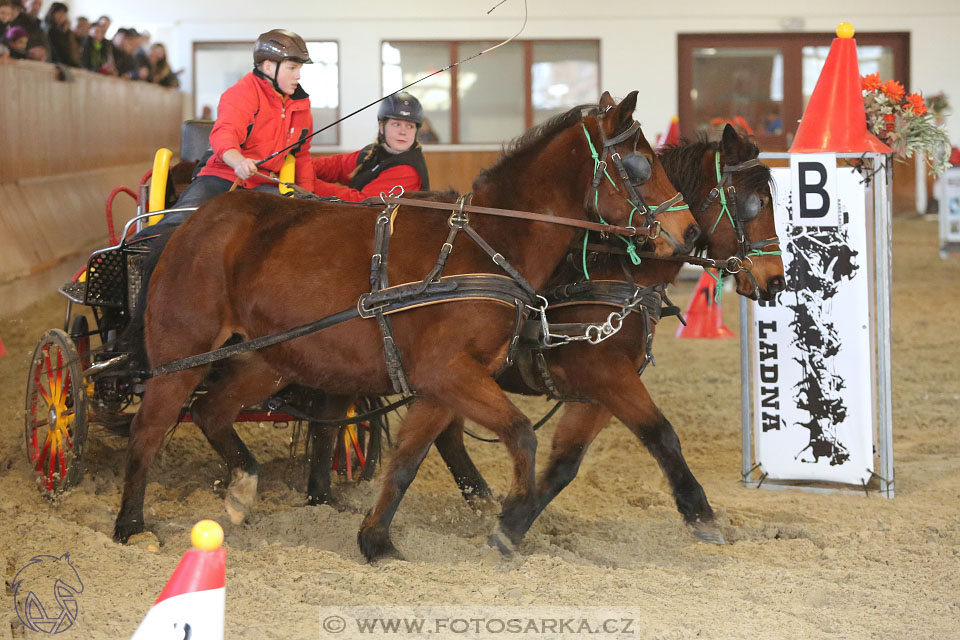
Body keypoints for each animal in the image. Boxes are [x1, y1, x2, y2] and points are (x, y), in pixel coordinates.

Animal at [114, 90, 696, 556]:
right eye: (639, 165)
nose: (688, 232)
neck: (487, 242)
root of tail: (190, 223)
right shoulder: (450, 372)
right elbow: (522, 435)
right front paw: (511, 521)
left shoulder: (445, 383)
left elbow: (407, 460)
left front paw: (376, 540)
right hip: (180, 355)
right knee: (150, 429)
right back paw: (130, 526)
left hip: (267, 359)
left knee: (211, 411)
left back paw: (241, 490)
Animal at [378, 125, 784, 552]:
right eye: (758, 203)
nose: (777, 280)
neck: (612, 272)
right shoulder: (604, 373)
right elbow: (661, 434)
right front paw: (702, 516)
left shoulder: (599, 390)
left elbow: (565, 462)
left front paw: (512, 524)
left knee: (446, 435)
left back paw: (482, 501)